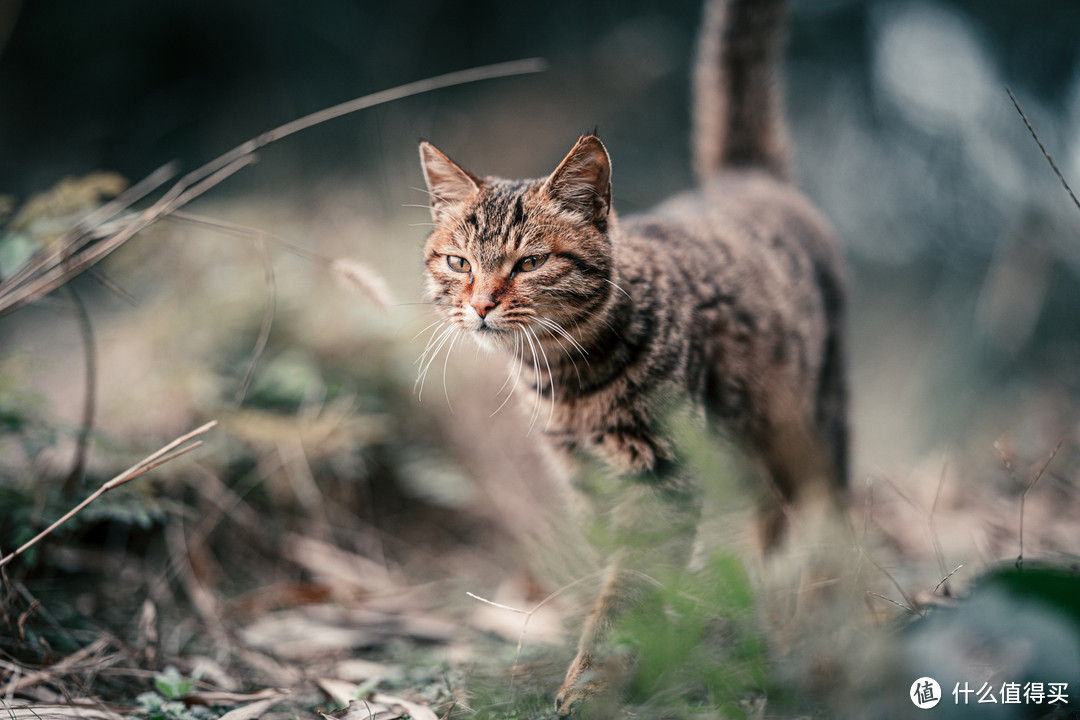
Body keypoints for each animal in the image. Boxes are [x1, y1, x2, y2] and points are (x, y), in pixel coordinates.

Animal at [416, 0, 846, 712]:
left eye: (530, 263)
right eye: (458, 263)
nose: (479, 304)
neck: (564, 380)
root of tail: (745, 180)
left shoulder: (662, 476)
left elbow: (629, 587)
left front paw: (594, 680)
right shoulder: (586, 480)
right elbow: (614, 577)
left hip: (813, 418)